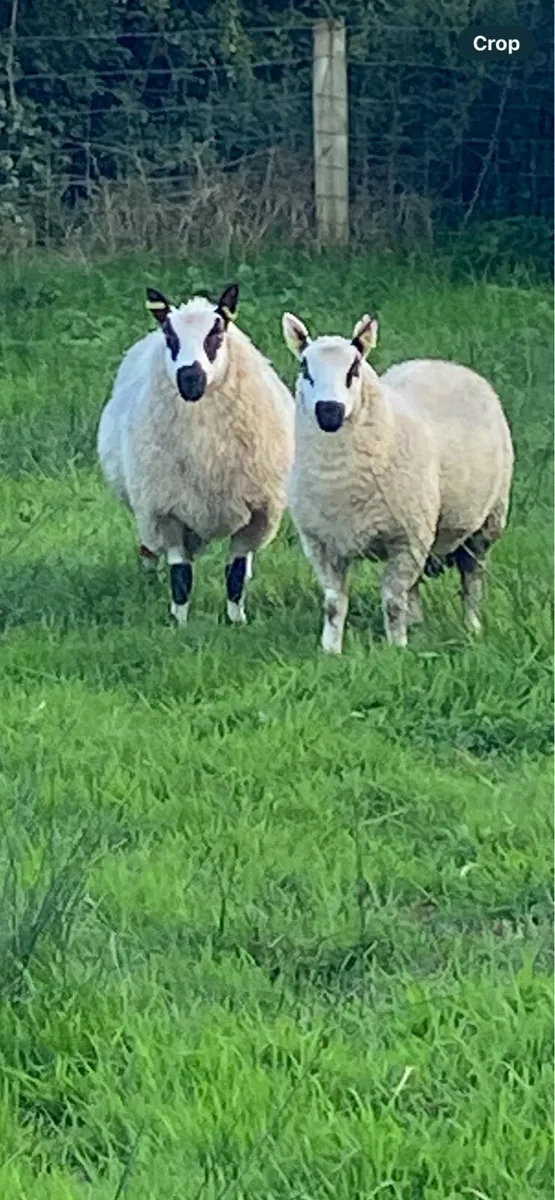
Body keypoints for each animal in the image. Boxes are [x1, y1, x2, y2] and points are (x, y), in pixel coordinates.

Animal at [97, 283, 294, 626]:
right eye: (170, 336)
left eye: (216, 334)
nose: (190, 378)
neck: (206, 451)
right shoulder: (165, 511)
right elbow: (181, 575)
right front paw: (179, 624)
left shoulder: (258, 513)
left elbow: (235, 572)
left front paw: (236, 621)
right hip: (146, 503)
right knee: (151, 548)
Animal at [282, 309, 514, 653]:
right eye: (304, 368)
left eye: (354, 368)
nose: (329, 412)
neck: (339, 478)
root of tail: (442, 363)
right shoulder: (321, 543)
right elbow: (334, 604)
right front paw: (331, 650)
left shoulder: (407, 537)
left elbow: (391, 602)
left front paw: (396, 650)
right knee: (413, 587)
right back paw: (415, 623)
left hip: (486, 522)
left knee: (472, 578)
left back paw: (472, 628)